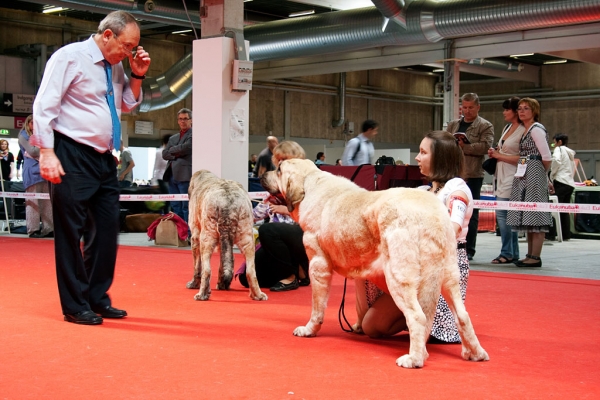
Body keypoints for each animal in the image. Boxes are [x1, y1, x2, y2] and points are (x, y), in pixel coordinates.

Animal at [185, 170, 264, 302]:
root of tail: (228, 205)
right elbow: (224, 262)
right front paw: (222, 284)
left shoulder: (195, 238)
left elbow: (197, 266)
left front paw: (193, 284)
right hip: (247, 238)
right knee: (250, 271)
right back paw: (257, 295)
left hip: (206, 238)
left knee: (207, 270)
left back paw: (201, 295)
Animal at [262, 159, 488, 368]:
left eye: (279, 169)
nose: (263, 174)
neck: (309, 183)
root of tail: (433, 217)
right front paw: (357, 327)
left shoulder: (318, 265)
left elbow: (317, 306)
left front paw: (309, 329)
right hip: (449, 277)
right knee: (463, 315)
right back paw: (475, 353)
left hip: (399, 277)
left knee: (418, 317)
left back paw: (414, 359)